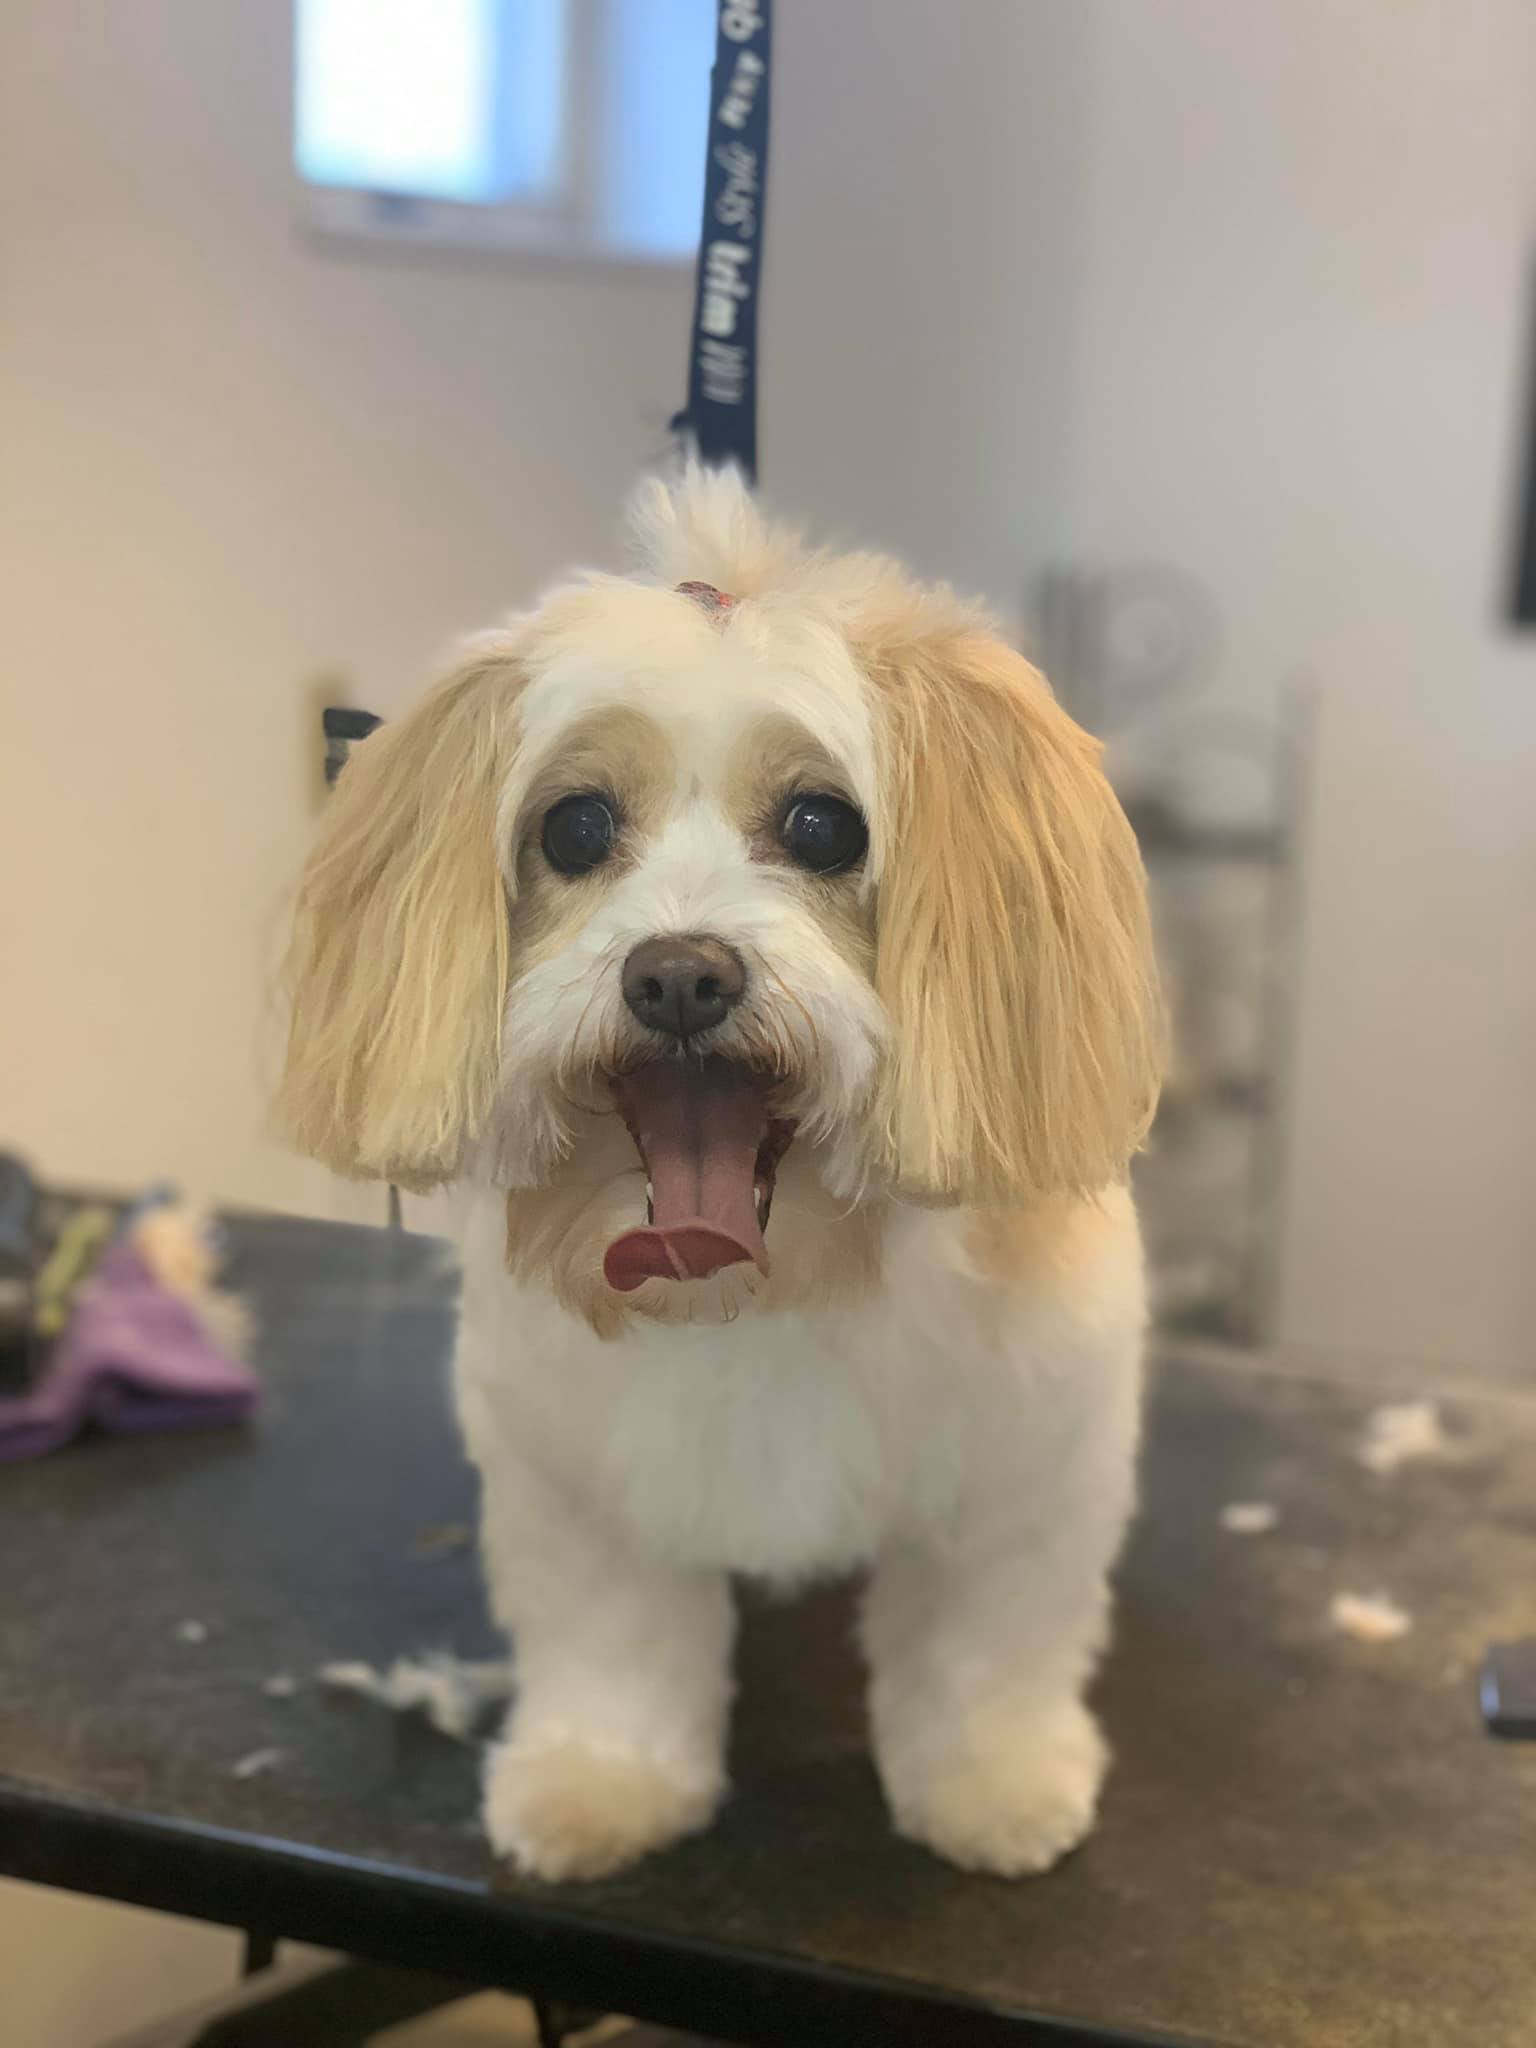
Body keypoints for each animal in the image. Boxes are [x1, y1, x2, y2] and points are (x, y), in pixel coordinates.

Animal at [281, 466, 1162, 1882]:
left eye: (822, 824)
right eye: (576, 825)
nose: (680, 974)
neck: (771, 1281)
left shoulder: (1021, 1474)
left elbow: (986, 1645)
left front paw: (994, 1784)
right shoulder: (583, 1486)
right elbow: (617, 1643)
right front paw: (603, 1782)